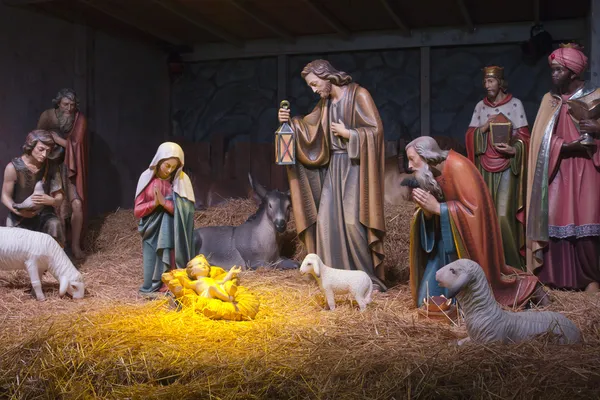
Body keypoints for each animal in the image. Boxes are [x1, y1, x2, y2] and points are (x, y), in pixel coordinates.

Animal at [436, 260, 580, 344]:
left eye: (452, 270)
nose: (436, 273)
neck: (483, 312)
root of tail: (577, 331)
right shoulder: (472, 338)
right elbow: (461, 343)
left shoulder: (490, 343)